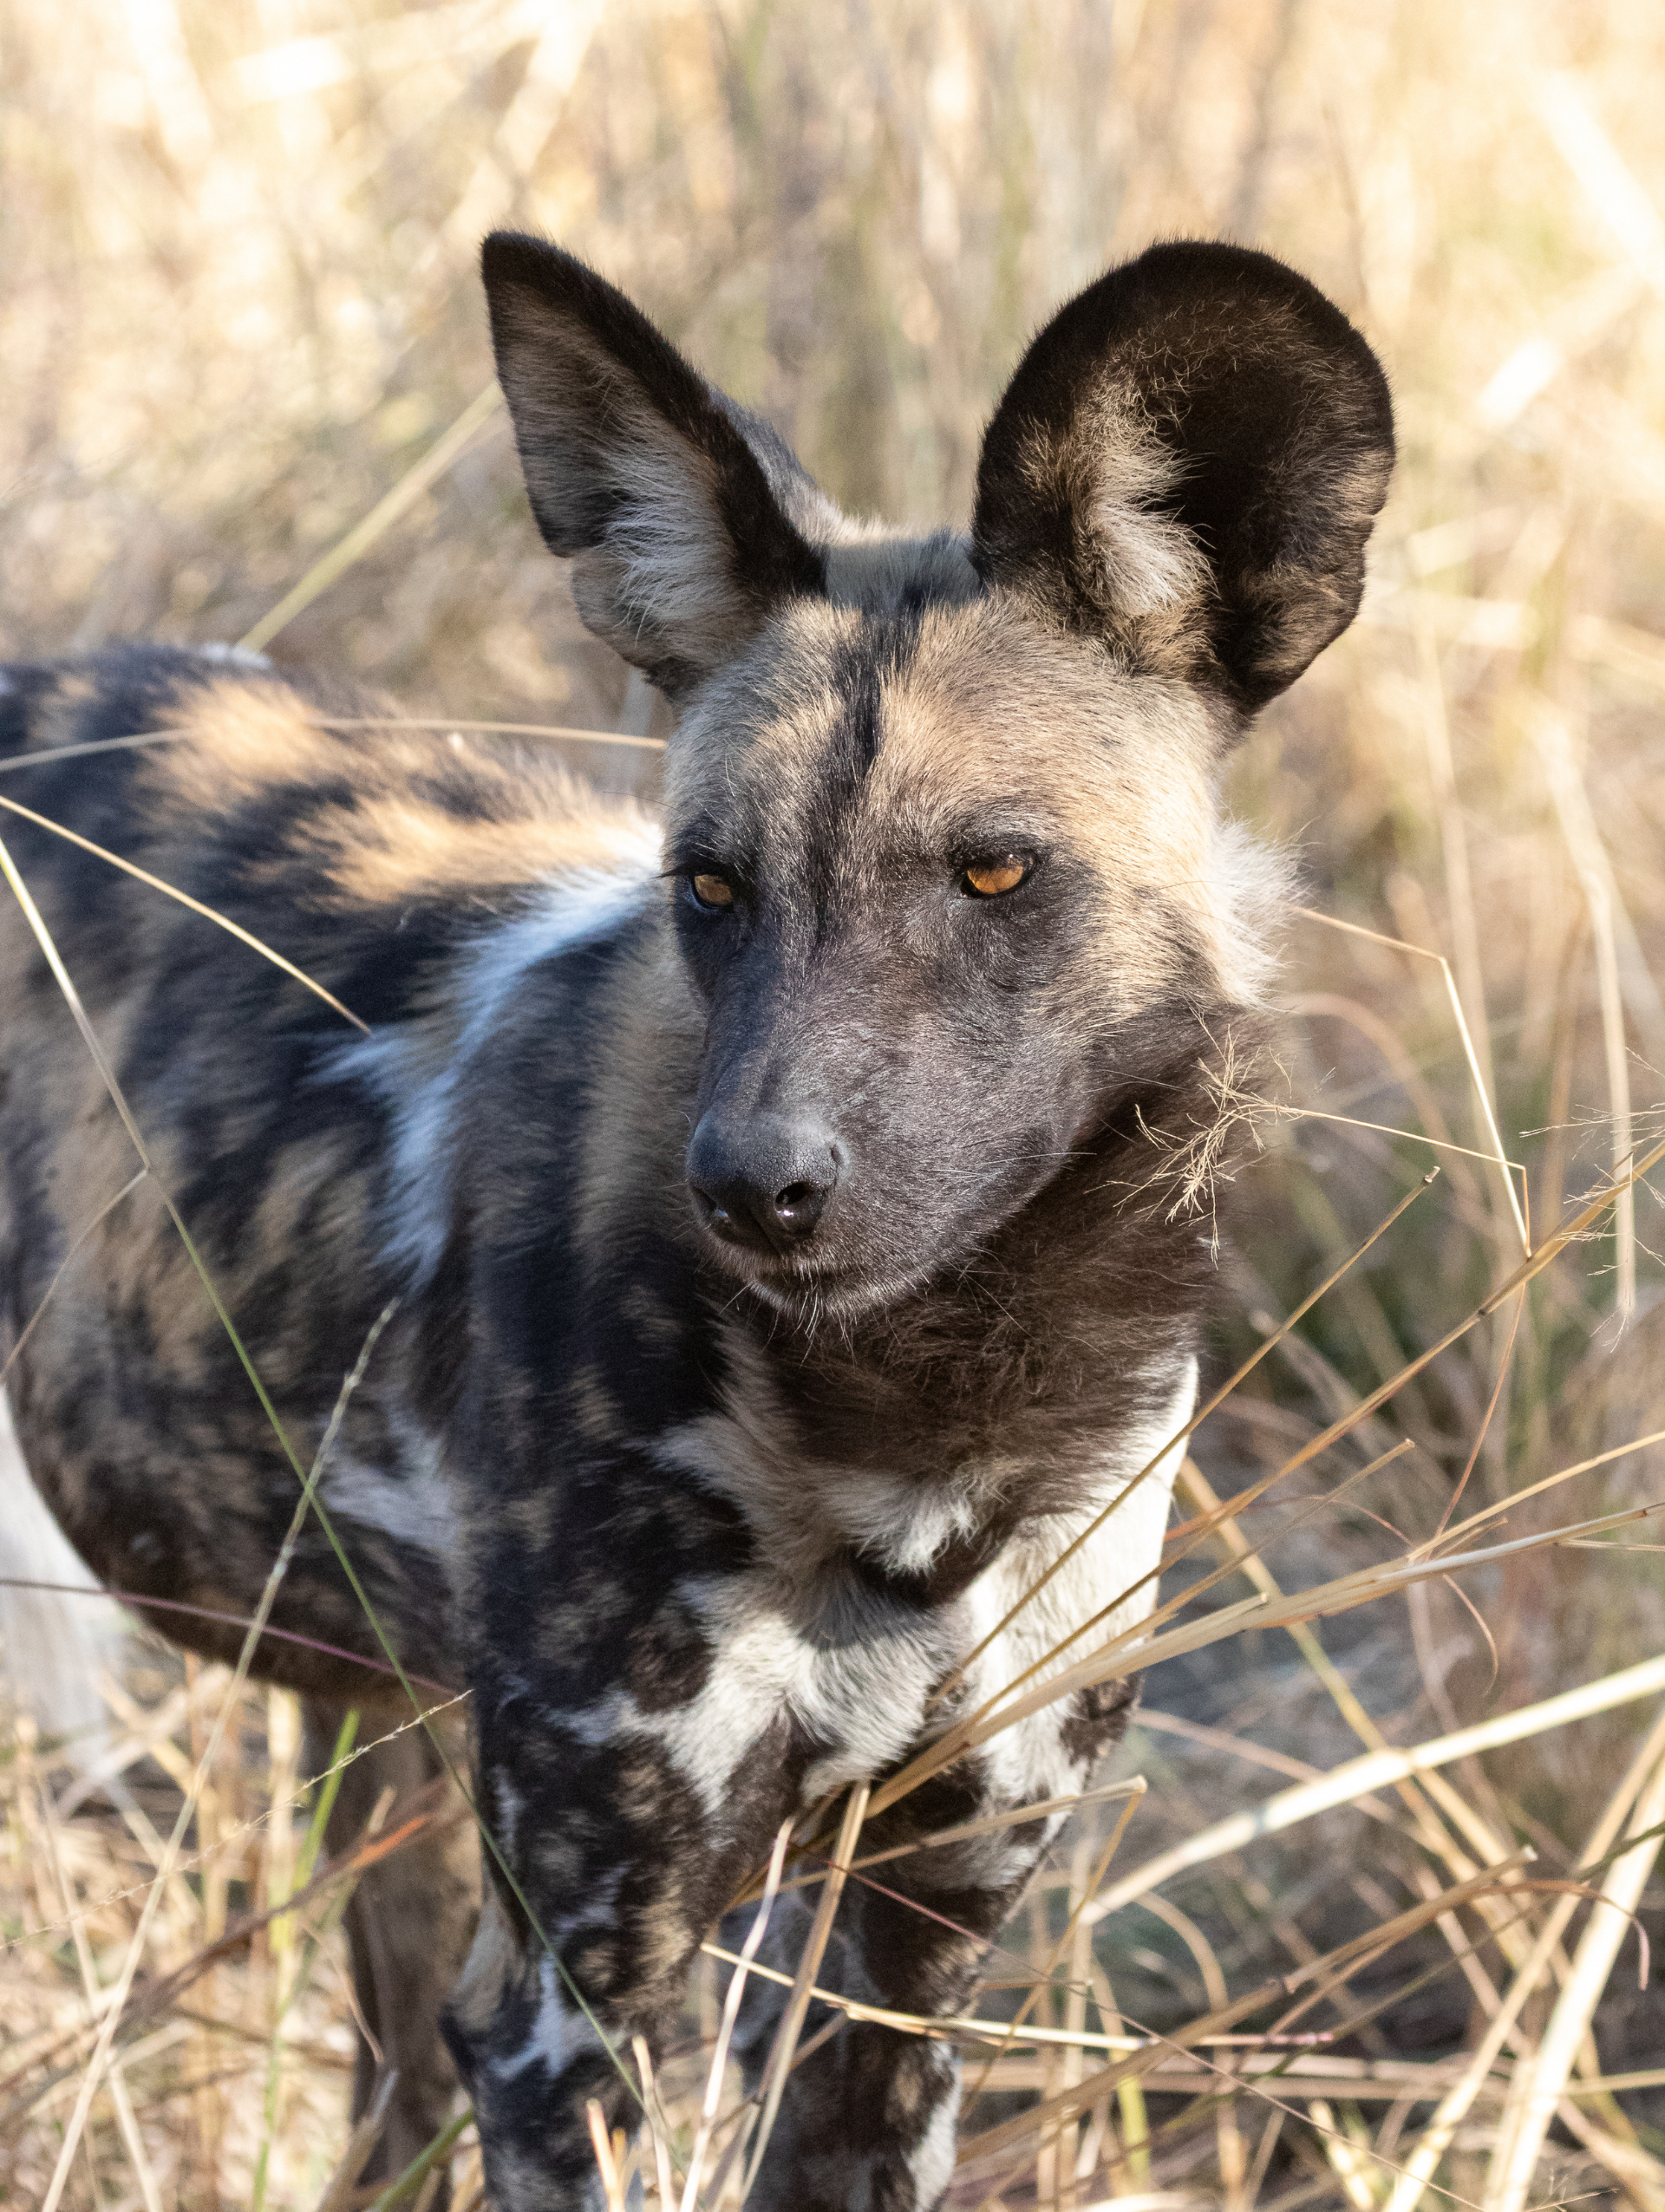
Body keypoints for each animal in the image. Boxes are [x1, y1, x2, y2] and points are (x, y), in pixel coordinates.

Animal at [0, 233, 1388, 2202]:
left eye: (993, 869)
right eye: (711, 885)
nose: (754, 1183)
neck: (938, 1425)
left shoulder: (911, 1963)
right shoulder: (585, 2009)